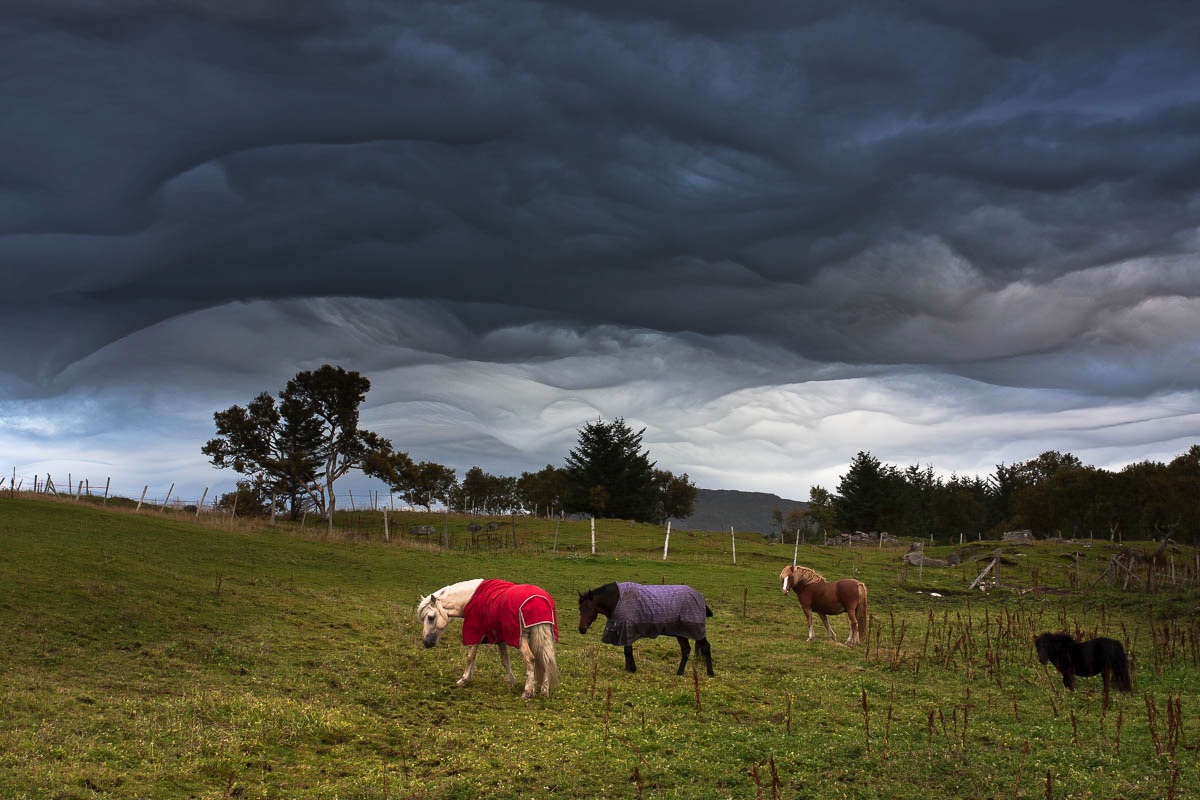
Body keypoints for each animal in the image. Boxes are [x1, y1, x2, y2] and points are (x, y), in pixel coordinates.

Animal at [415, 578, 559, 695]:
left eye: (430, 617)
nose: (426, 642)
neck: (468, 599)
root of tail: (539, 600)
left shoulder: (474, 633)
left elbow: (470, 657)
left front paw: (464, 680)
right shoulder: (500, 638)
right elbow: (505, 660)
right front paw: (511, 682)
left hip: (520, 639)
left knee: (530, 659)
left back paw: (528, 692)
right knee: (545, 658)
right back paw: (544, 691)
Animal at [578, 582, 710, 676]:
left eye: (590, 608)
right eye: (580, 608)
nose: (581, 629)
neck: (618, 600)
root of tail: (700, 596)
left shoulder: (627, 629)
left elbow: (627, 650)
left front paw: (631, 670)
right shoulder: (625, 631)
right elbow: (627, 650)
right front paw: (629, 669)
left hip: (695, 630)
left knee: (705, 647)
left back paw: (710, 673)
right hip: (681, 633)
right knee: (686, 650)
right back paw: (679, 673)